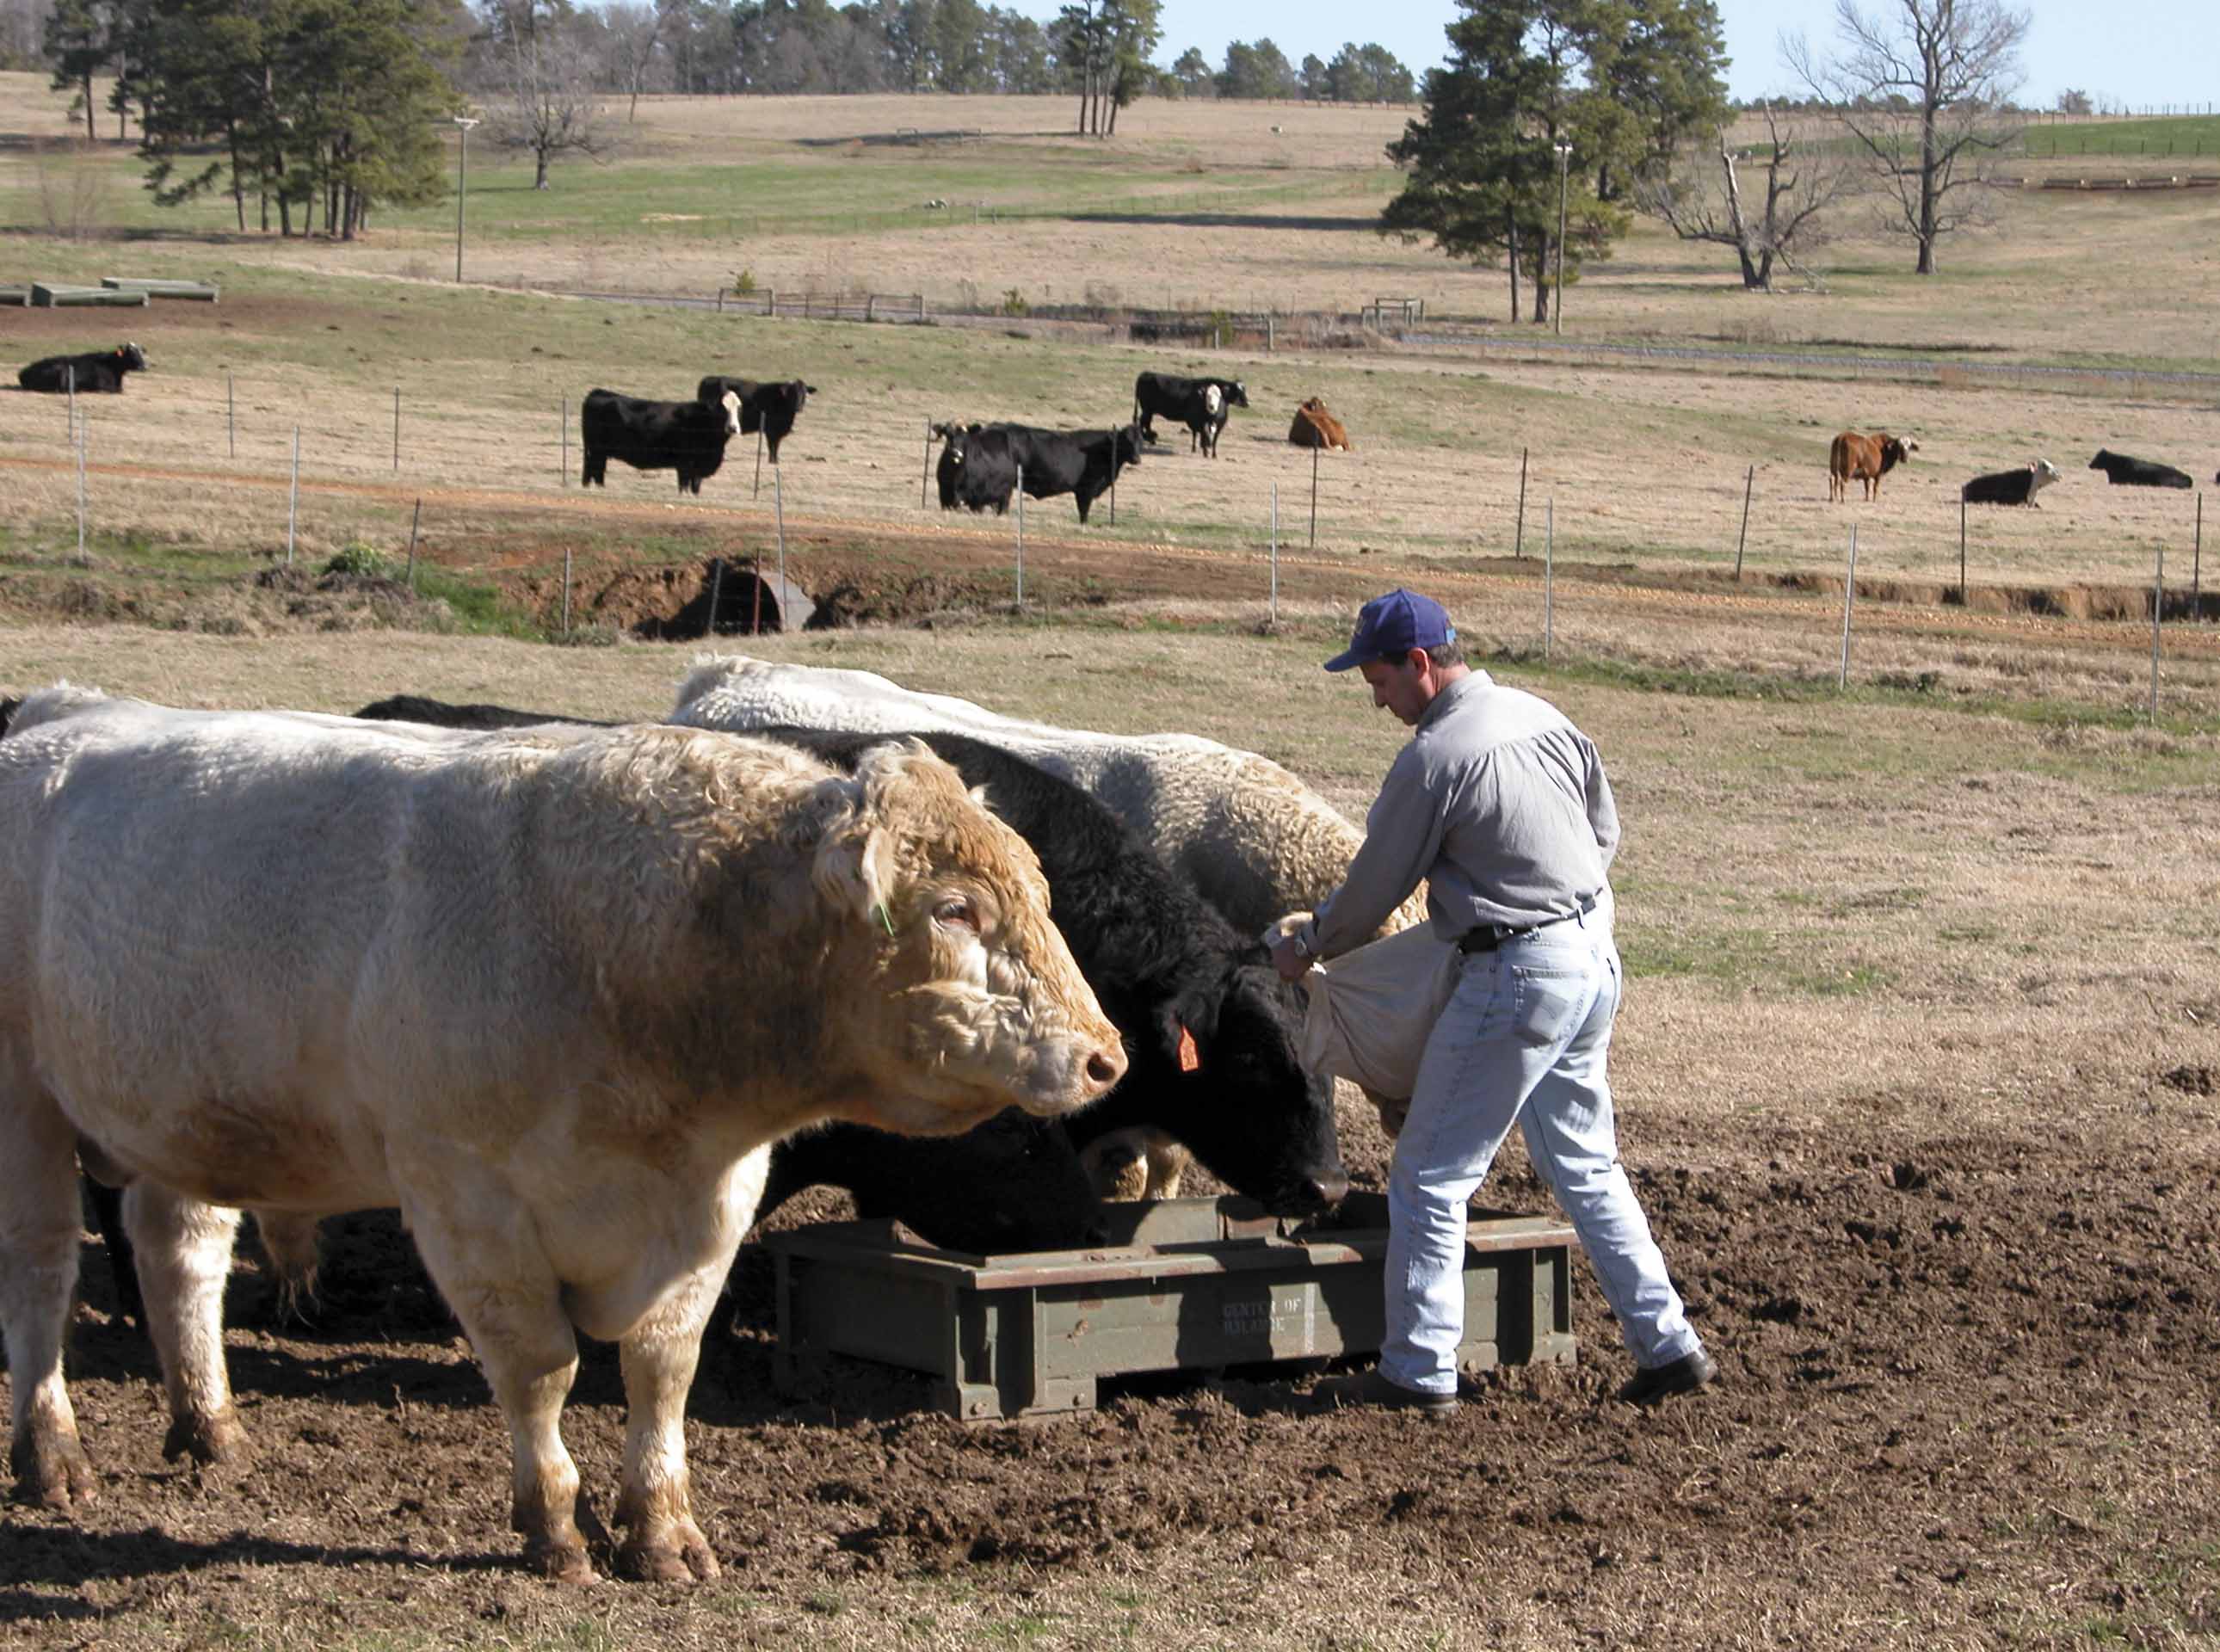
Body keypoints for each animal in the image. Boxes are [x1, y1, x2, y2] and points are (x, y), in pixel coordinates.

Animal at [0, 690, 1124, 1582]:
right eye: (955, 908)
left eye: (1039, 895)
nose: (1104, 1057)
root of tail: (58, 714)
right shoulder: (465, 1200)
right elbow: (540, 1368)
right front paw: (555, 1528)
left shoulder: (718, 1200)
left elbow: (663, 1368)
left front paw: (663, 1533)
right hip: (25, 1111)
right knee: (44, 1274)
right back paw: (52, 1456)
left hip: (175, 1114)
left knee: (178, 1256)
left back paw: (211, 1429)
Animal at [580, 385, 743, 495]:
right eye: (722, 408)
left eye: (738, 407)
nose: (733, 427)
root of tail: (598, 392)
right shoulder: (685, 464)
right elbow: (684, 486)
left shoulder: (698, 467)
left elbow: (695, 488)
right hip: (597, 451)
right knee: (596, 471)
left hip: (599, 452)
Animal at [694, 377, 817, 464]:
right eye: (792, 393)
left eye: (804, 394)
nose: (799, 407)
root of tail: (708, 379)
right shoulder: (771, 430)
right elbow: (772, 445)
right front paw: (772, 461)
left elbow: (776, 445)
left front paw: (776, 460)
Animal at [1133, 372, 1249, 458]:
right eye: (1238, 391)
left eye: (1244, 390)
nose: (1247, 403)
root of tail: (1145, 374)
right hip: (1147, 409)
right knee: (1143, 422)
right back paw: (1150, 438)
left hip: (1149, 411)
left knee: (1145, 422)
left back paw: (1150, 439)